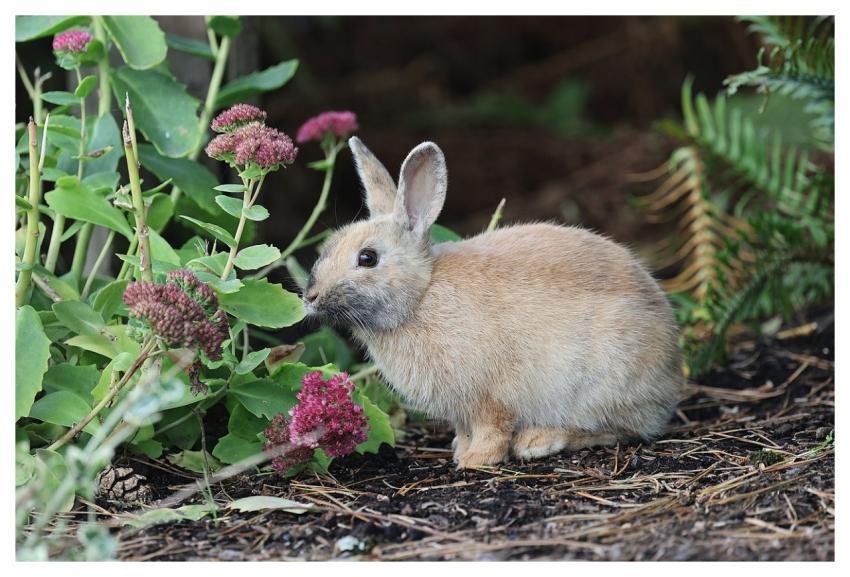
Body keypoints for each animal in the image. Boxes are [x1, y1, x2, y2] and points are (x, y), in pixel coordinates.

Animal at [303, 137, 685, 468]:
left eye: (367, 258)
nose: (310, 296)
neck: (421, 296)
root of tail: (670, 374)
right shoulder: (461, 410)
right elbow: (464, 429)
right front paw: (460, 450)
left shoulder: (491, 398)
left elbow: (492, 429)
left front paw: (475, 461)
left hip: (602, 382)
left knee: (619, 429)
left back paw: (539, 441)